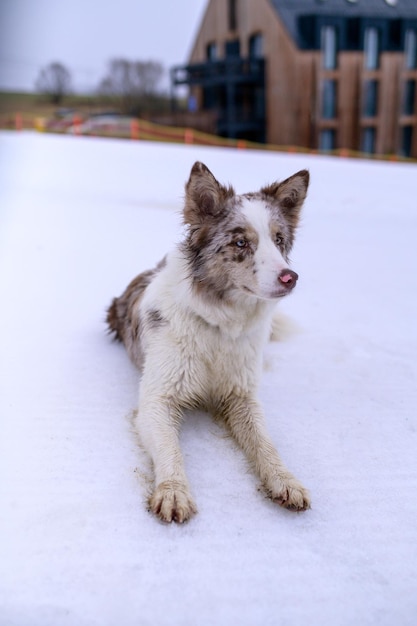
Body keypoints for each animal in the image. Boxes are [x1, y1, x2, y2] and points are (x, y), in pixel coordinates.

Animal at [106, 161, 308, 520]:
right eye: (241, 243)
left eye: (279, 240)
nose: (290, 277)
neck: (220, 326)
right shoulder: (158, 399)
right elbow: (170, 448)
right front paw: (173, 491)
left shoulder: (242, 396)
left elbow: (265, 443)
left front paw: (285, 480)